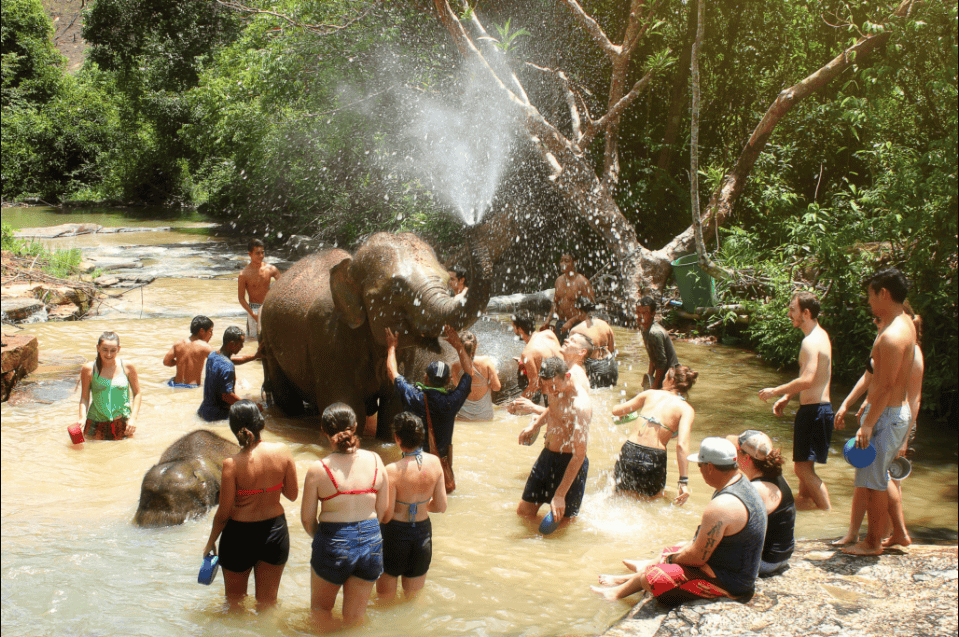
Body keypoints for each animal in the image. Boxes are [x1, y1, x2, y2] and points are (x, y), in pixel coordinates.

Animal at [260, 231, 492, 438]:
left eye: (447, 282)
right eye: (397, 291)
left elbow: (393, 408)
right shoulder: (326, 334)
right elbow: (348, 405)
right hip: (269, 339)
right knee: (287, 398)